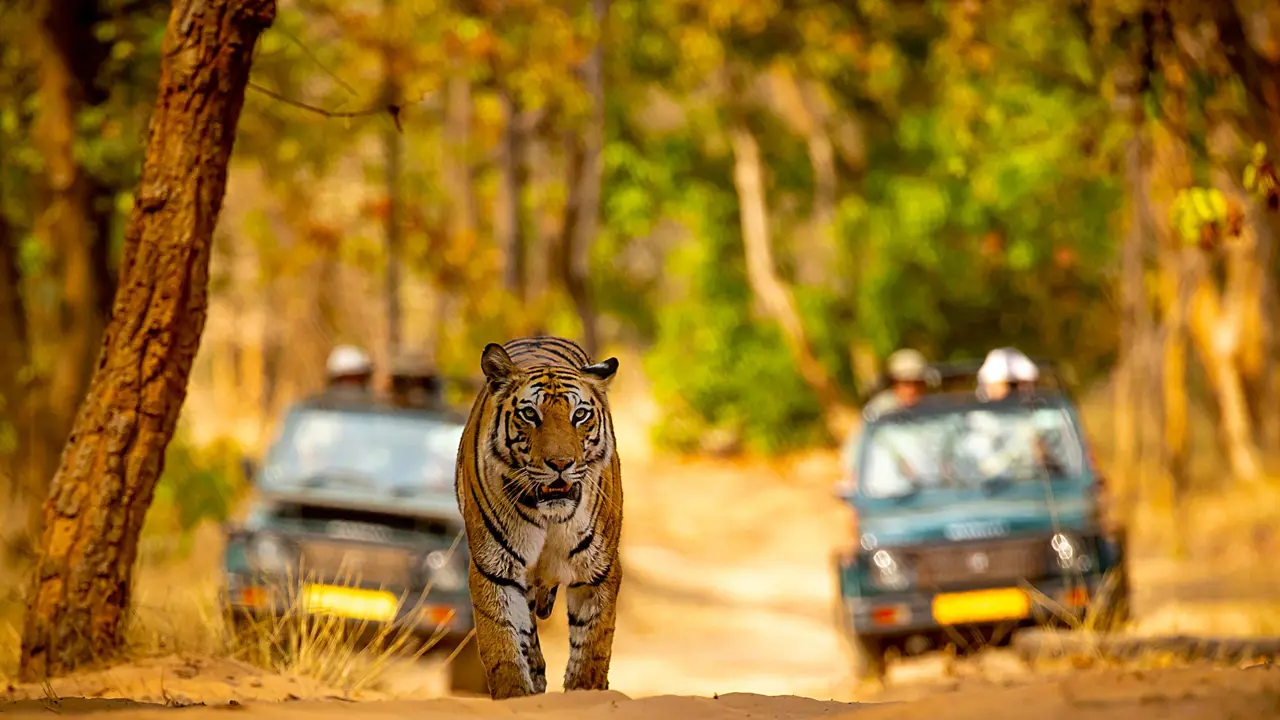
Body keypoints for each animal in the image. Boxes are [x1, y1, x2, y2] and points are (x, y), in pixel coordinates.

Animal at [454, 335, 623, 699]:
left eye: (579, 415)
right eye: (530, 414)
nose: (560, 463)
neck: (550, 518)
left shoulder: (597, 571)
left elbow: (592, 647)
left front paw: (585, 692)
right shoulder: (495, 569)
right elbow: (502, 643)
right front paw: (515, 694)